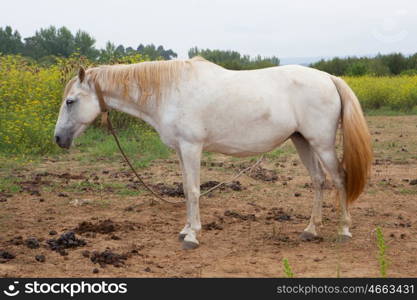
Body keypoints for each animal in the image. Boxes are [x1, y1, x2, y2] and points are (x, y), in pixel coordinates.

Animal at [54, 57, 370, 250]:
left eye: (70, 101)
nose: (58, 139)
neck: (171, 91)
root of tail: (329, 78)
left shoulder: (192, 147)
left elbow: (194, 190)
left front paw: (192, 235)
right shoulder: (181, 151)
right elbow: (185, 188)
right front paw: (185, 229)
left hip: (322, 143)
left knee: (339, 178)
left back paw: (343, 231)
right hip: (302, 141)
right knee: (318, 180)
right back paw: (310, 229)